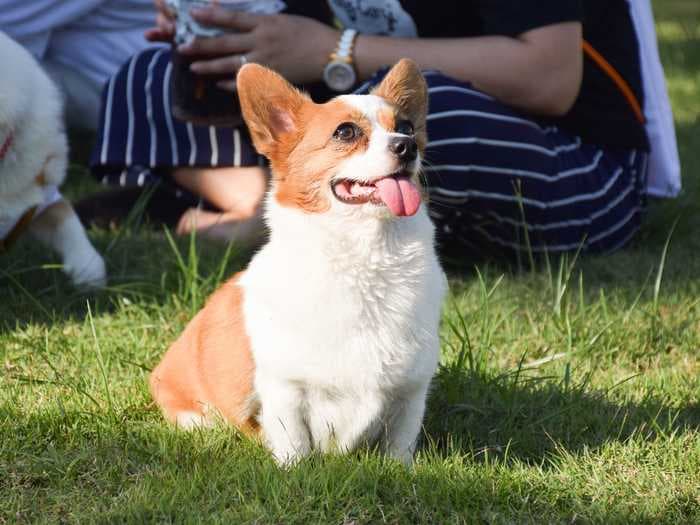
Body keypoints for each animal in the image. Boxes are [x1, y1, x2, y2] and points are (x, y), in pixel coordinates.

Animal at [150, 59, 446, 464]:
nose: (408, 146)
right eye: (346, 132)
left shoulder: (411, 390)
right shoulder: (285, 389)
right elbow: (294, 442)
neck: (366, 255)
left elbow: (400, 443)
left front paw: (400, 470)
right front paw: (294, 469)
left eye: (407, 127)